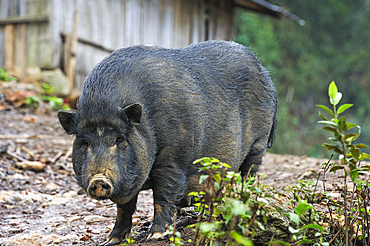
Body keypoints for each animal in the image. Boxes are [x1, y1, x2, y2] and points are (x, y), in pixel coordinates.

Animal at [57, 40, 276, 244]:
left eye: (119, 139)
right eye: (85, 142)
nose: (99, 180)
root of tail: (265, 73)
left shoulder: (174, 156)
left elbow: (163, 194)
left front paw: (155, 235)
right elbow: (124, 207)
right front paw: (112, 240)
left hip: (259, 143)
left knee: (248, 173)